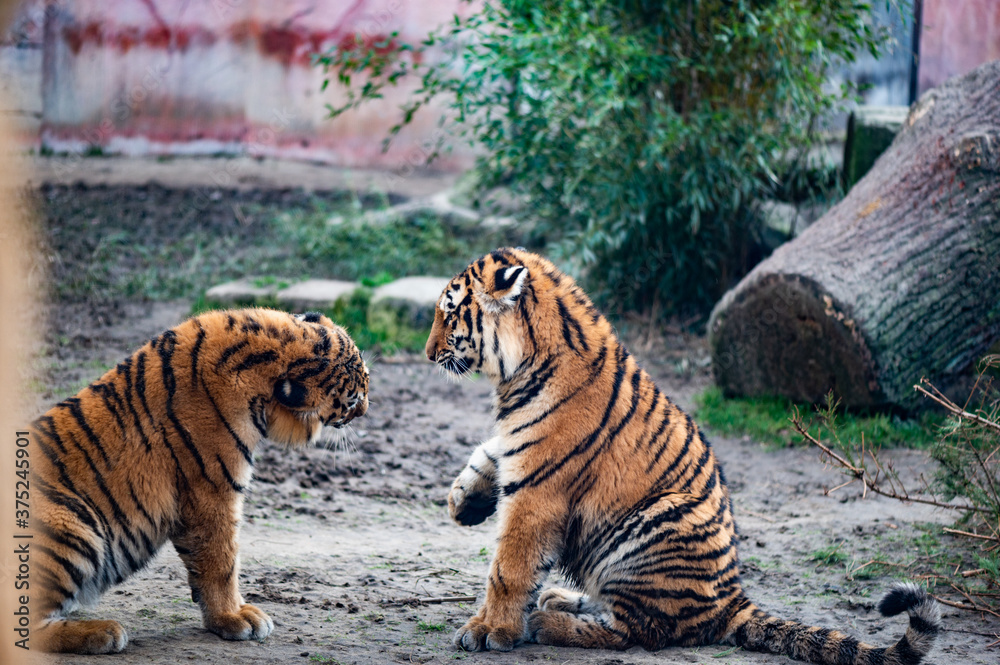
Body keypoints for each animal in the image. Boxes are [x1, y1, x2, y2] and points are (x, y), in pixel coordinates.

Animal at [29, 307, 369, 654]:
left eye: (366, 381)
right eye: (353, 401)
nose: (366, 411)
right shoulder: (213, 491)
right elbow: (222, 560)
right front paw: (233, 618)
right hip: (73, 522)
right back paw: (104, 632)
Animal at [425, 248, 940, 664]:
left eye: (450, 314)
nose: (428, 354)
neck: (514, 374)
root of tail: (734, 598)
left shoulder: (537, 491)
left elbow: (508, 569)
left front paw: (488, 631)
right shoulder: (518, 448)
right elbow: (488, 453)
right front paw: (463, 501)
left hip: (651, 524)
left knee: (639, 631)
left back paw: (547, 622)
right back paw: (559, 599)